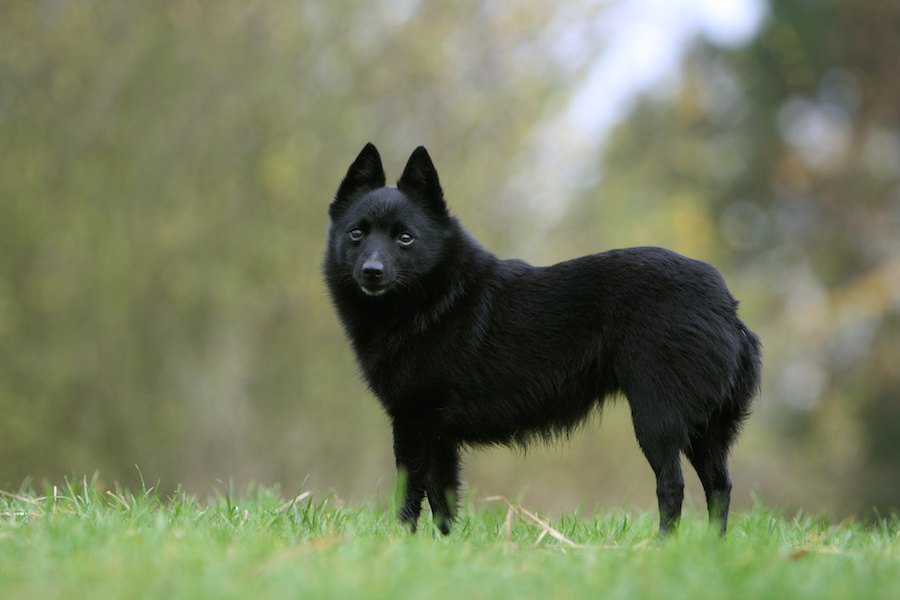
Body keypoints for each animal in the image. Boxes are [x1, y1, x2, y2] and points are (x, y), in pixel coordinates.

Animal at [324, 144, 760, 536]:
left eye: (406, 238)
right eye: (357, 233)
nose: (372, 271)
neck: (436, 299)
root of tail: (726, 305)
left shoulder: (414, 422)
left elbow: (409, 493)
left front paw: (400, 543)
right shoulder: (439, 435)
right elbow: (441, 497)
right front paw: (442, 548)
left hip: (658, 419)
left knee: (673, 486)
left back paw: (663, 546)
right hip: (706, 429)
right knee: (719, 486)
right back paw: (710, 548)